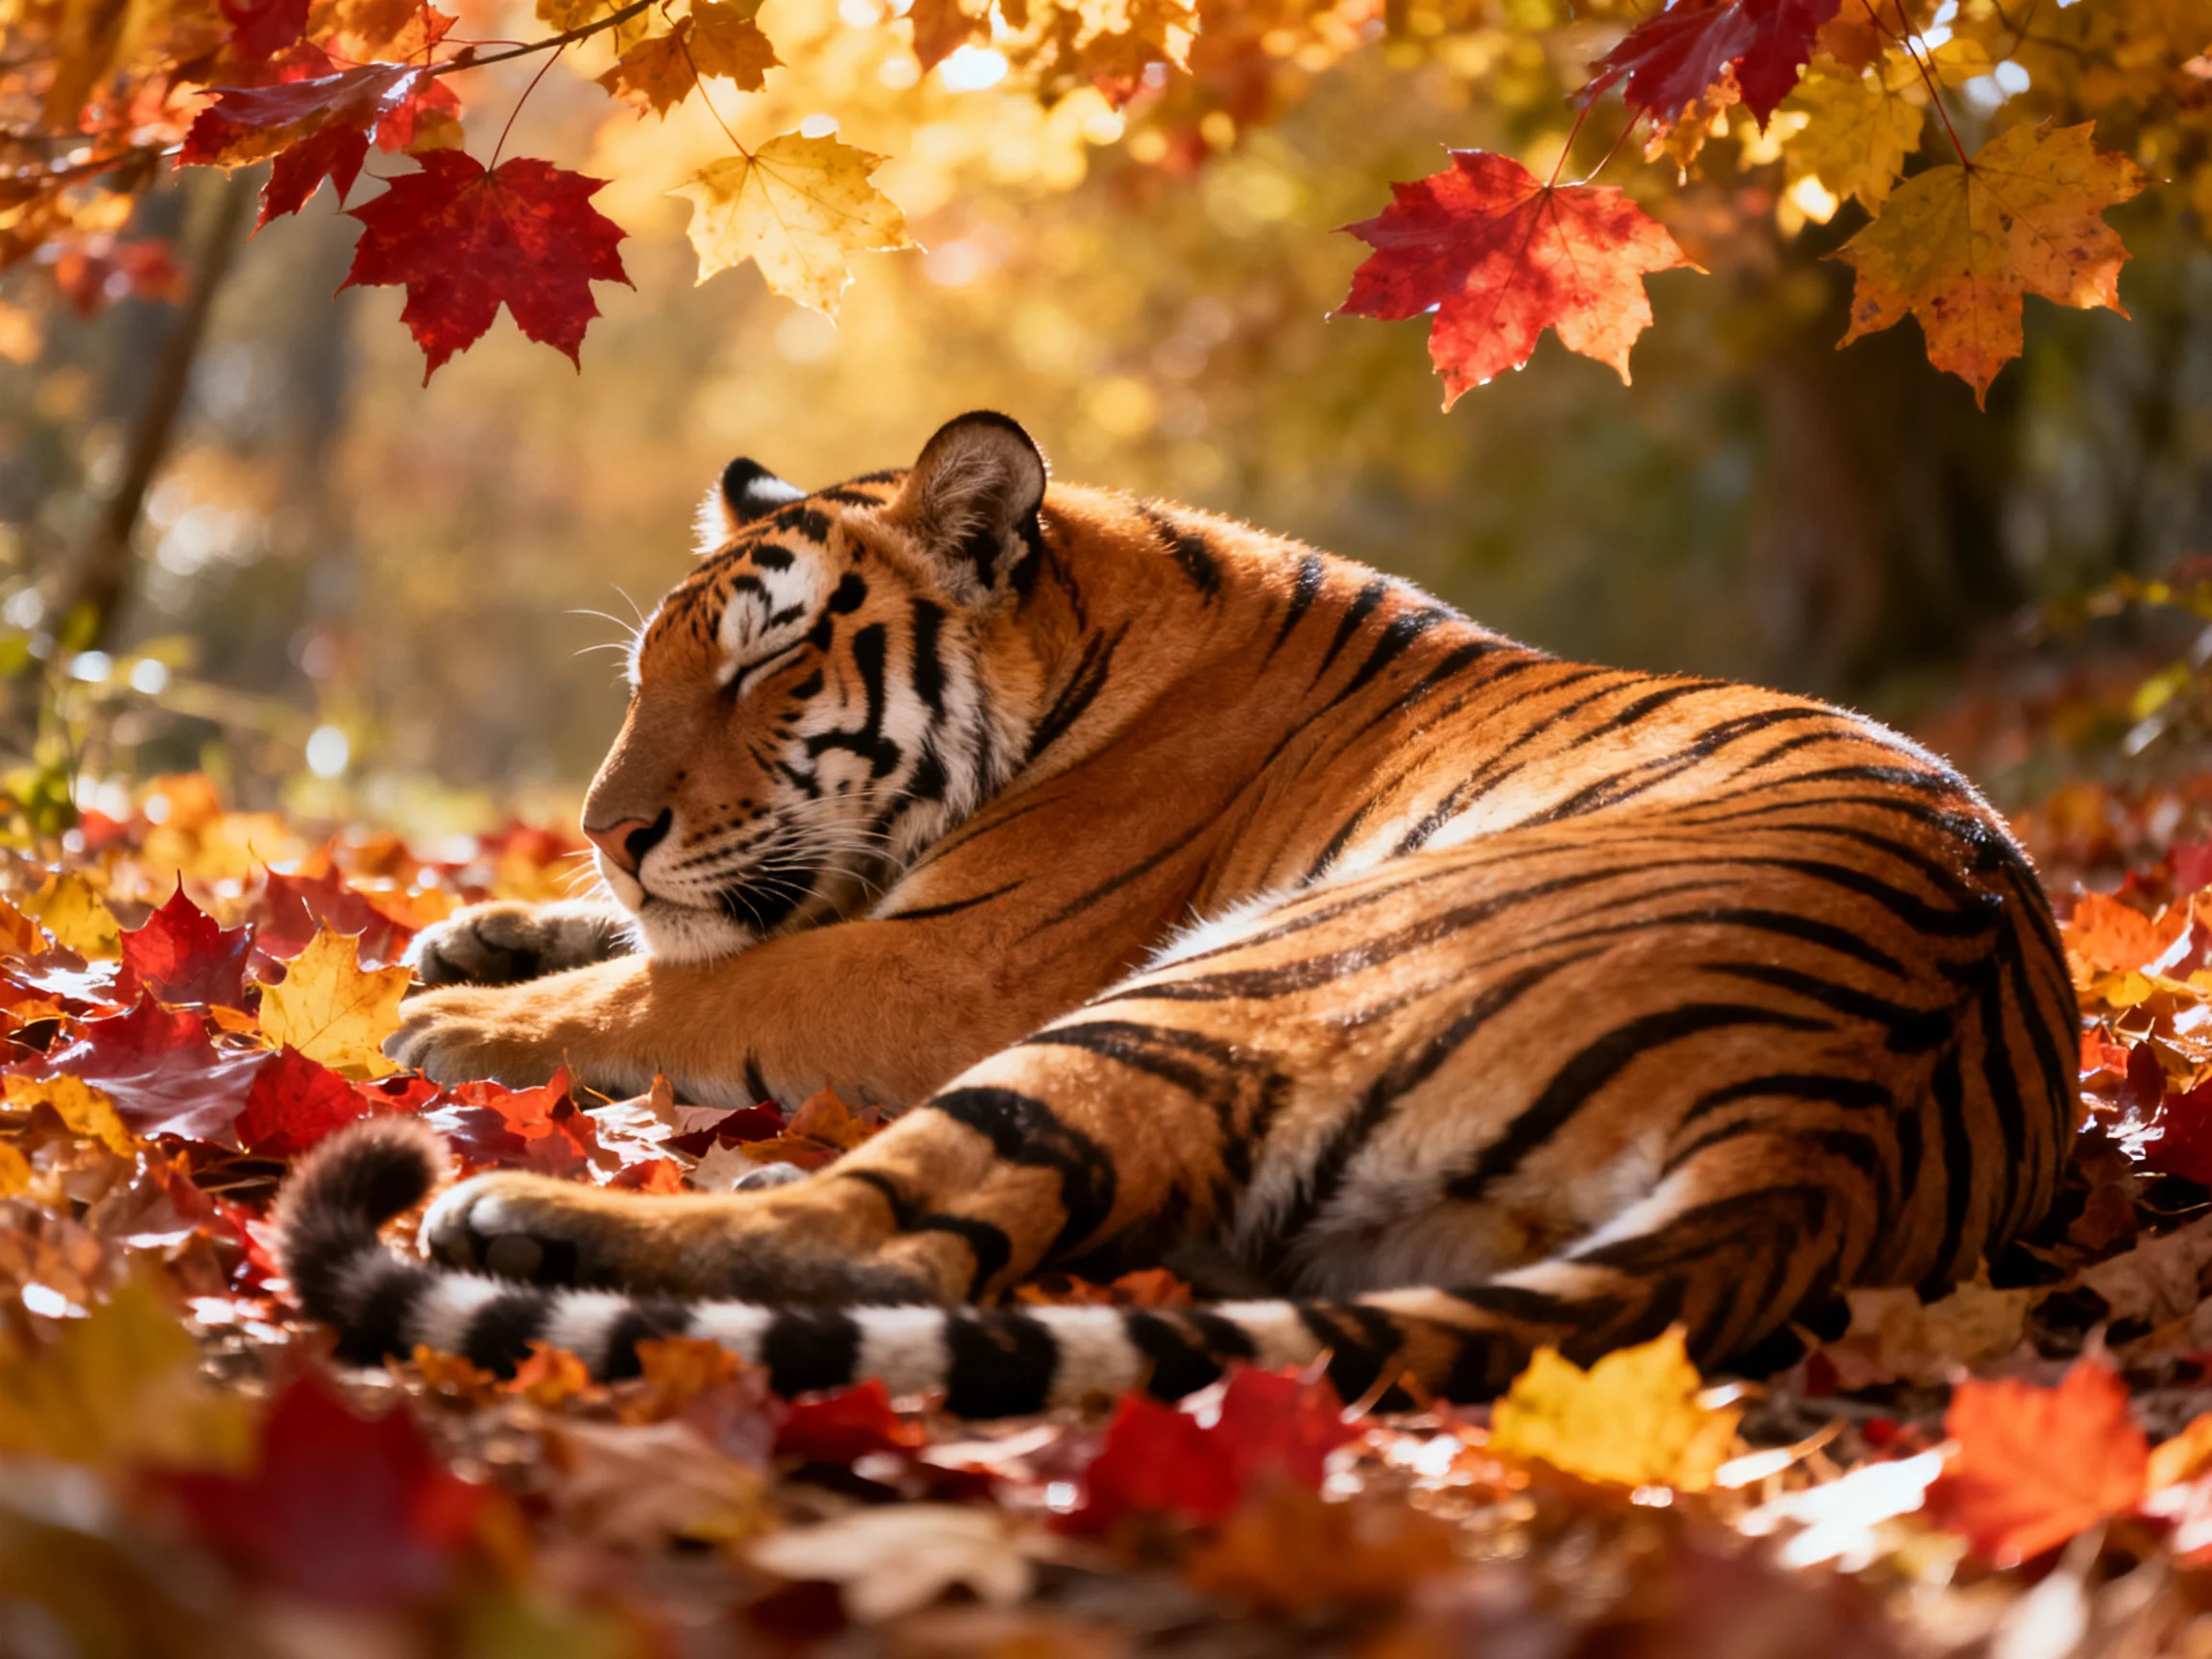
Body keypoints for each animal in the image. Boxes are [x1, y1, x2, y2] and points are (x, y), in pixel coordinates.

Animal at [276, 410, 2081, 1419]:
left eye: (767, 665)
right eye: (650, 670)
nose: (607, 832)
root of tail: (1815, 1131)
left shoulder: (945, 963)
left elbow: (693, 986)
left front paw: (458, 1010)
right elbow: (687, 939)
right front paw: (481, 930)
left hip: (1212, 988)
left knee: (885, 1246)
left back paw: (514, 1208)